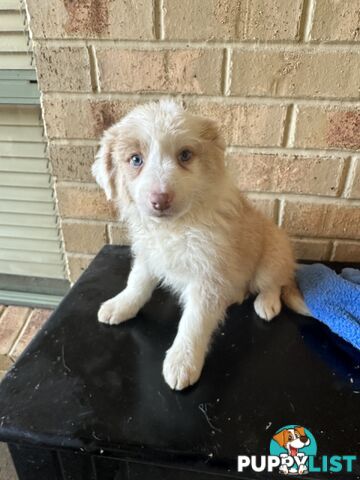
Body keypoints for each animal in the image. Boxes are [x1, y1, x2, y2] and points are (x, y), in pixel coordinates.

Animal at [91, 100, 308, 390]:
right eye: (135, 159)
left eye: (185, 155)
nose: (160, 200)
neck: (176, 226)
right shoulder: (149, 255)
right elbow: (136, 283)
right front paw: (121, 305)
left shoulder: (207, 275)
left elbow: (193, 322)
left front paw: (182, 362)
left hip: (272, 255)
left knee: (272, 283)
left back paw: (267, 303)